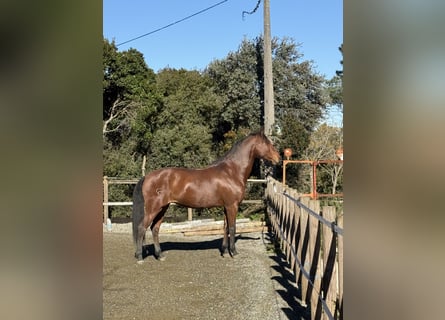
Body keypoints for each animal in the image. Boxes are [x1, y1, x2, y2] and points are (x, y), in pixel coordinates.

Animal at [130, 129, 280, 262]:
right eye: (268, 144)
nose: (278, 158)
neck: (232, 172)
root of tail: (147, 177)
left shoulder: (226, 206)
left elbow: (225, 227)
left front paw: (225, 252)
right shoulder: (232, 206)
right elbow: (232, 227)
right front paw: (234, 252)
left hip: (163, 208)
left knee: (154, 229)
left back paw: (160, 255)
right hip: (153, 208)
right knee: (142, 228)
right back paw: (140, 257)